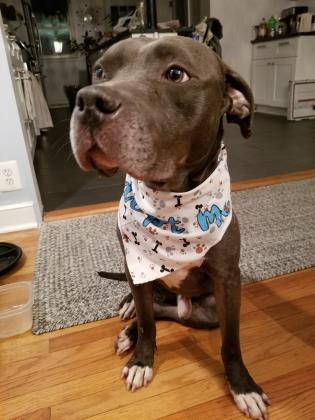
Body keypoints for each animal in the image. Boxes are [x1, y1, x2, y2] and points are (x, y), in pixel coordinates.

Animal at [70, 37, 270, 420]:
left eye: (176, 74)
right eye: (100, 71)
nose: (88, 101)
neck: (170, 199)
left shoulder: (228, 281)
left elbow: (231, 343)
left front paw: (243, 386)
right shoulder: (135, 268)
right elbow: (148, 324)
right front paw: (142, 360)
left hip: (207, 311)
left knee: (169, 313)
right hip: (141, 279)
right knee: (150, 310)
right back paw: (128, 323)